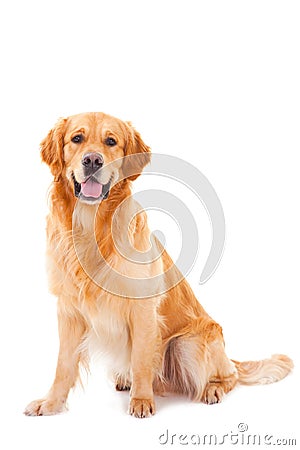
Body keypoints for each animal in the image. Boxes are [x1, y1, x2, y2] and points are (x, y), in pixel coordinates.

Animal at [24, 112, 292, 418]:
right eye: (76, 139)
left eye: (111, 141)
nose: (92, 160)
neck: (92, 228)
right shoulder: (68, 309)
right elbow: (63, 365)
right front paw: (51, 403)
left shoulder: (142, 307)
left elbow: (141, 359)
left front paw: (142, 400)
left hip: (187, 342)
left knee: (230, 376)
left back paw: (211, 388)